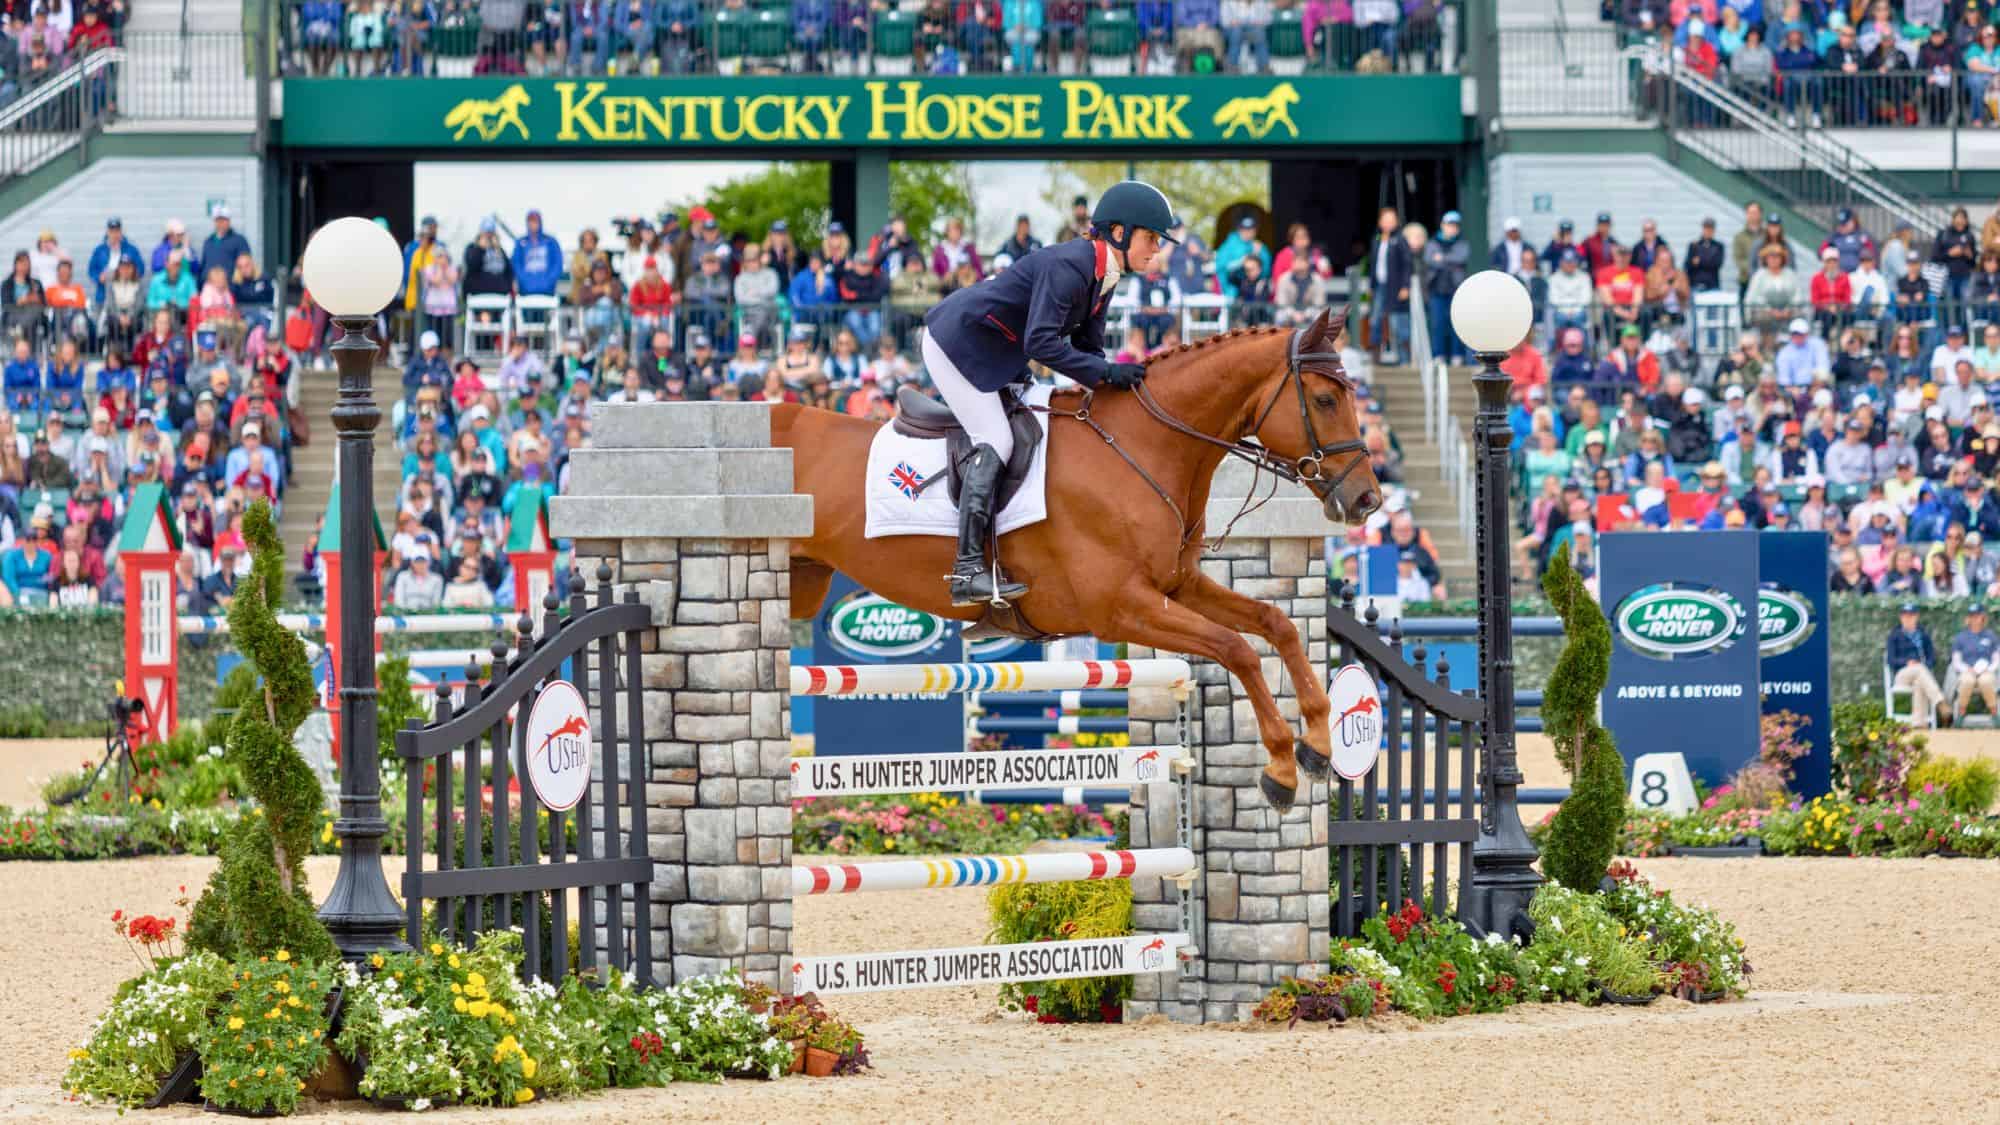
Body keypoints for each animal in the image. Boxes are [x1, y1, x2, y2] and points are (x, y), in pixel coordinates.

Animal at [773, 308, 1383, 812]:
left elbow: (1276, 624)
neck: (1142, 445)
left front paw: (1318, 745)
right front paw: (1281, 768)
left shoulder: (1177, 585)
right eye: (1325, 400)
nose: (1367, 501)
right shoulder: (1121, 608)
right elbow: (1238, 649)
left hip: (804, 584)